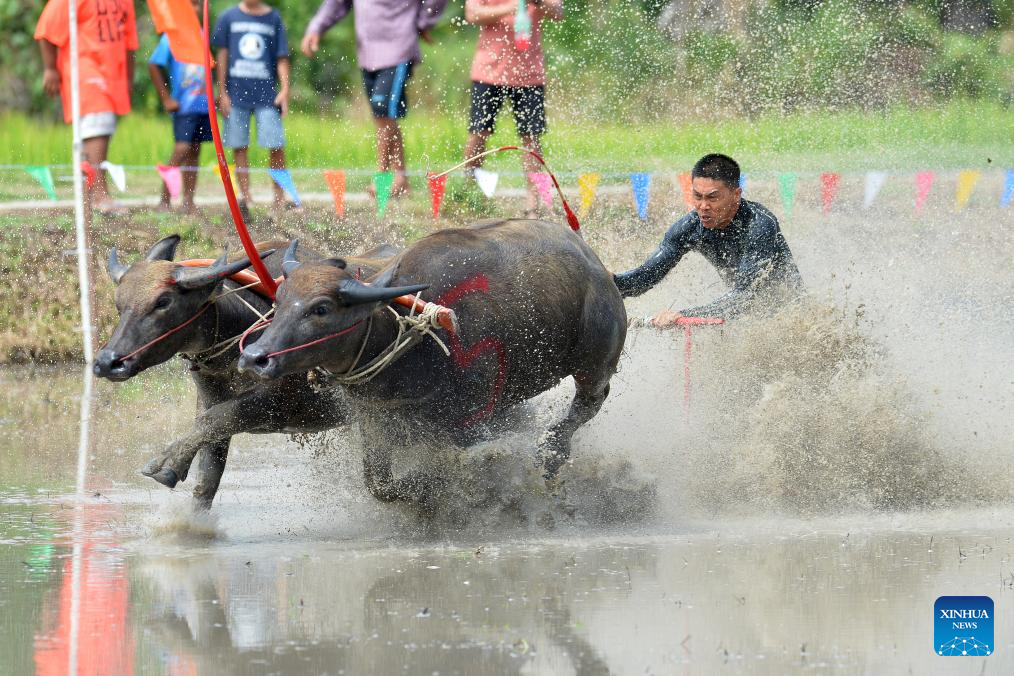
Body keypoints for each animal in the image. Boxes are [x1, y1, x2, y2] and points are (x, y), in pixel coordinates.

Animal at [95, 235, 393, 510]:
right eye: (119, 302)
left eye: (163, 301)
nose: (107, 362)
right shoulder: (208, 398)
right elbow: (207, 473)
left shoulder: (276, 404)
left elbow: (214, 420)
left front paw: (166, 462)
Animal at [237, 219, 624, 504]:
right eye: (279, 298)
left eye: (321, 308)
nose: (255, 357)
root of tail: (600, 270)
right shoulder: (375, 418)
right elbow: (379, 484)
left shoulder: (470, 420)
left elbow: (450, 461)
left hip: (594, 363)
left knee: (589, 402)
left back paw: (553, 452)